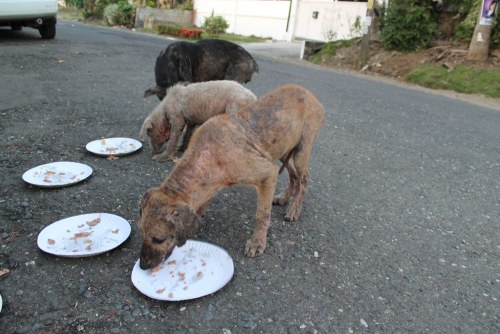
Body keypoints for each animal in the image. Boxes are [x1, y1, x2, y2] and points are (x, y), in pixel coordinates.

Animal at [138, 83, 324, 268]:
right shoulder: (212, 183)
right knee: (294, 176)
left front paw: (257, 242)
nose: (143, 266)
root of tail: (310, 94)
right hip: (284, 148)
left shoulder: (268, 173)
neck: (208, 154)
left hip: (301, 152)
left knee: (304, 180)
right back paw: (284, 197)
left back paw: (294, 208)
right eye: (141, 231)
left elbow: (262, 214)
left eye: (158, 239)